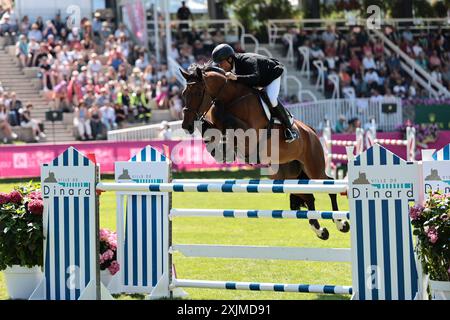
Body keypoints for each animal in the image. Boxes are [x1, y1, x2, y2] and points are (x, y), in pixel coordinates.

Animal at [179, 63, 348, 240]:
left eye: (198, 93)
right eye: (183, 94)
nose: (186, 125)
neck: (229, 99)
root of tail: (312, 131)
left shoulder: (249, 135)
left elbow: (229, 124)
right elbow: (212, 132)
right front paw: (222, 150)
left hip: (313, 167)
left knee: (329, 185)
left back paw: (341, 223)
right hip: (286, 176)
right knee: (308, 196)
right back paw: (320, 230)